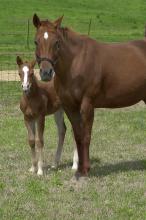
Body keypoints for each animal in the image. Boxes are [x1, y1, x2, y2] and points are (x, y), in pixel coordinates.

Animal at [32, 13, 146, 179]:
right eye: (36, 41)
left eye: (57, 42)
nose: (46, 73)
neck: (76, 62)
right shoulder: (70, 107)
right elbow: (78, 136)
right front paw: (79, 169)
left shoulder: (87, 105)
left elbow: (86, 136)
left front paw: (85, 170)